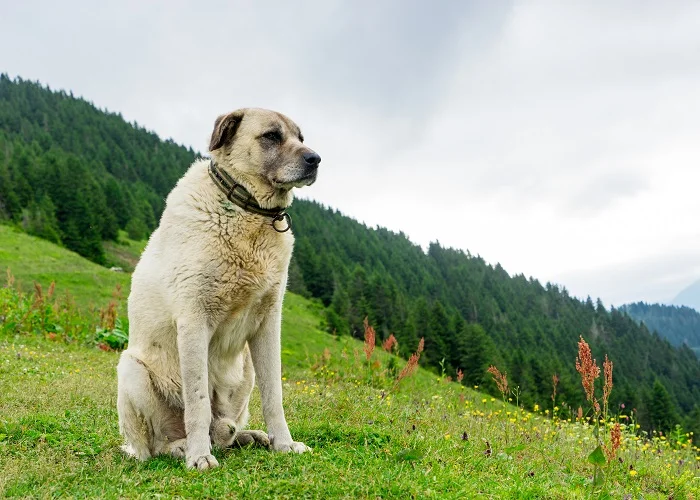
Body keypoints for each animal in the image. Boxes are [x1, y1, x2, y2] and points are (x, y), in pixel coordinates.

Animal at [117, 106, 320, 468]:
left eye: (300, 137)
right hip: (131, 370)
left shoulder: (269, 323)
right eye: (271, 136)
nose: (316, 159)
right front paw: (199, 456)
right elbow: (198, 402)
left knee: (225, 431)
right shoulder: (194, 320)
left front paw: (284, 443)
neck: (247, 210)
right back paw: (181, 447)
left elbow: (274, 395)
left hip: (246, 370)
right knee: (153, 447)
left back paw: (249, 437)